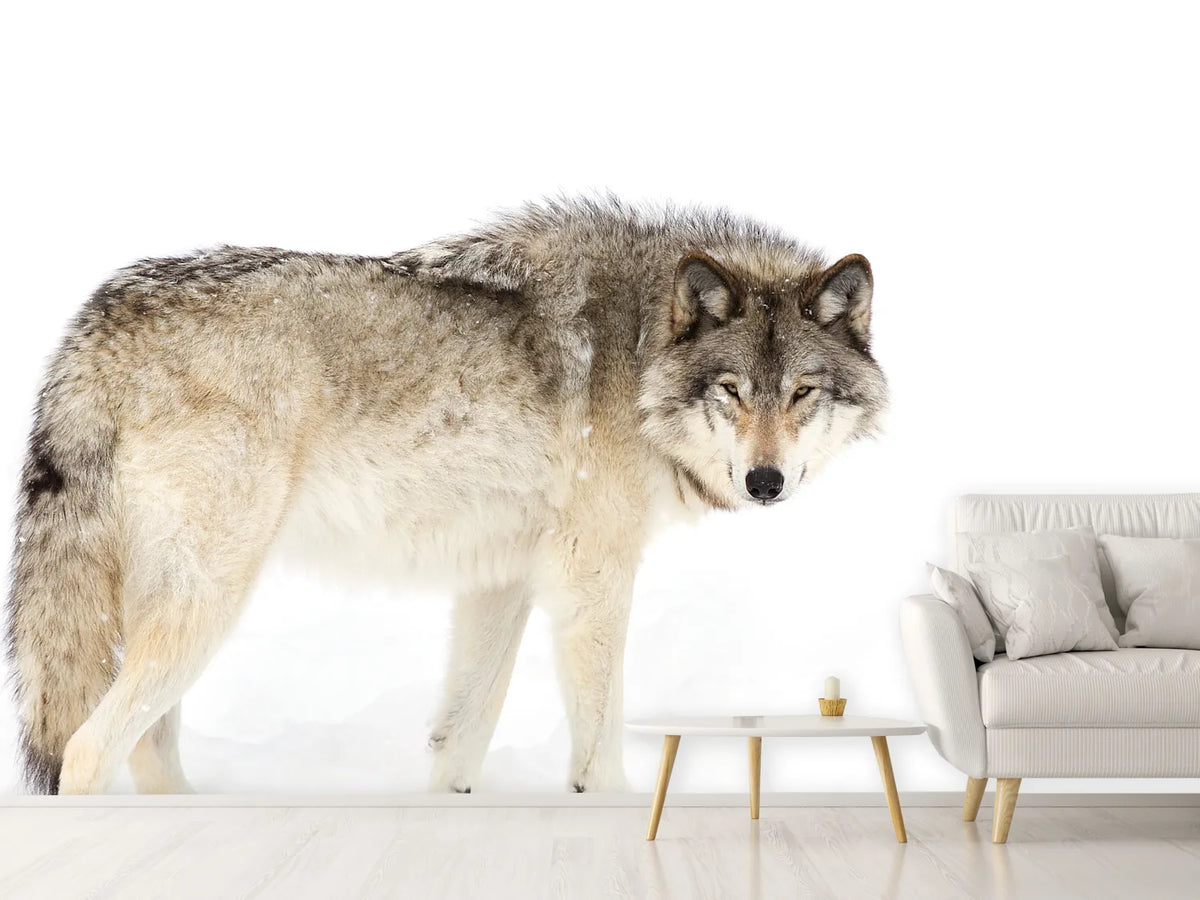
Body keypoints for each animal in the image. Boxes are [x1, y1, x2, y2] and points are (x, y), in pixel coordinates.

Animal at [6, 197, 886, 794]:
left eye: (802, 392)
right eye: (732, 391)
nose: (765, 482)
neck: (639, 353)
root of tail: (97, 317)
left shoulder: (500, 581)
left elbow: (461, 738)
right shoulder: (590, 579)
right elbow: (599, 749)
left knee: (145, 749)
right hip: (209, 600)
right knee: (87, 749)